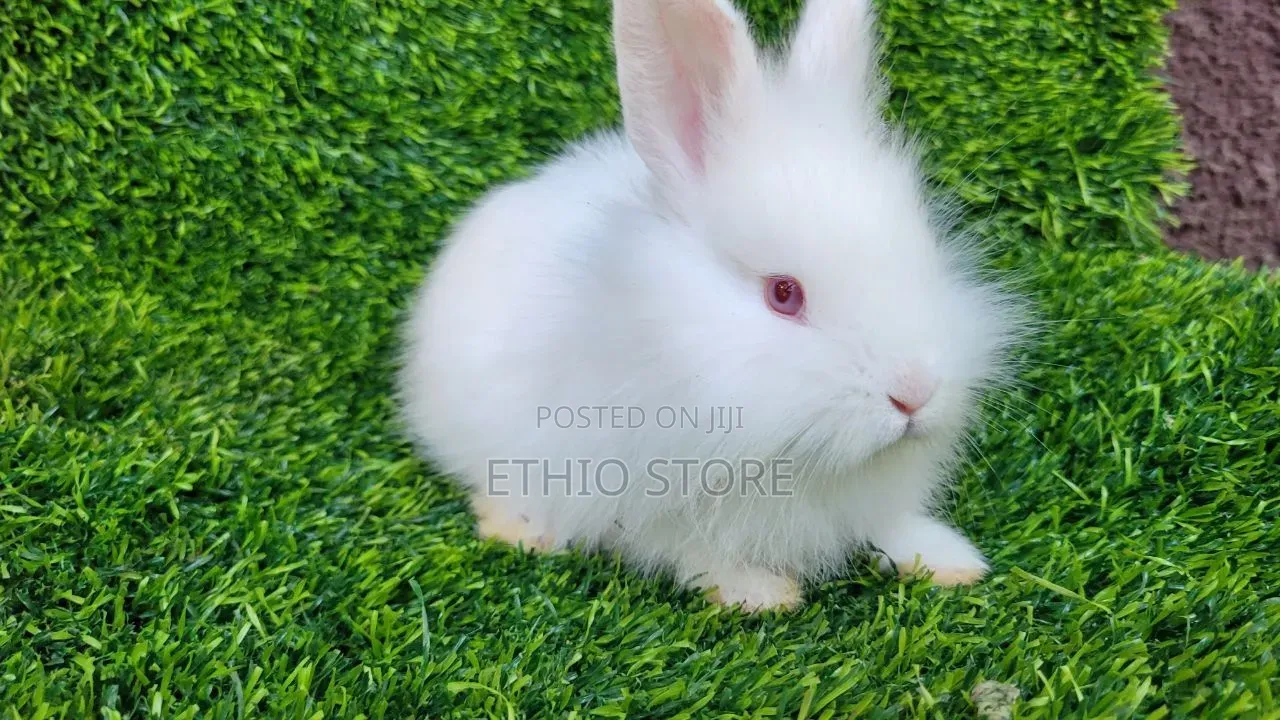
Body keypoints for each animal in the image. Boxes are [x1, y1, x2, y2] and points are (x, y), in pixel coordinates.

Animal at [396, 0, 1026, 612]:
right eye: (783, 294)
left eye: (924, 255)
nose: (914, 394)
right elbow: (694, 551)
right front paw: (760, 593)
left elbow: (891, 525)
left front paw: (950, 560)